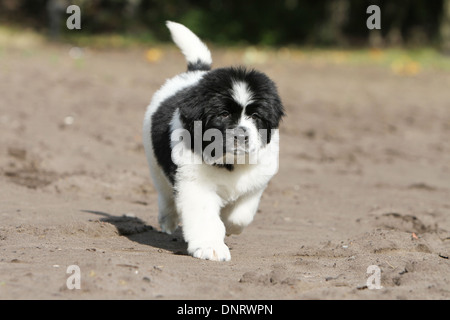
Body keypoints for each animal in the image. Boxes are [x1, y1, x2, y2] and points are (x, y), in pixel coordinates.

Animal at [143, 21, 284, 262]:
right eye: (224, 114)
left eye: (256, 116)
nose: (242, 134)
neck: (229, 161)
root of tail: (196, 72)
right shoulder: (194, 184)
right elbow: (205, 217)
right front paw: (211, 247)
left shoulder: (257, 181)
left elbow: (241, 215)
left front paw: (229, 223)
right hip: (155, 163)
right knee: (165, 192)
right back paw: (168, 220)